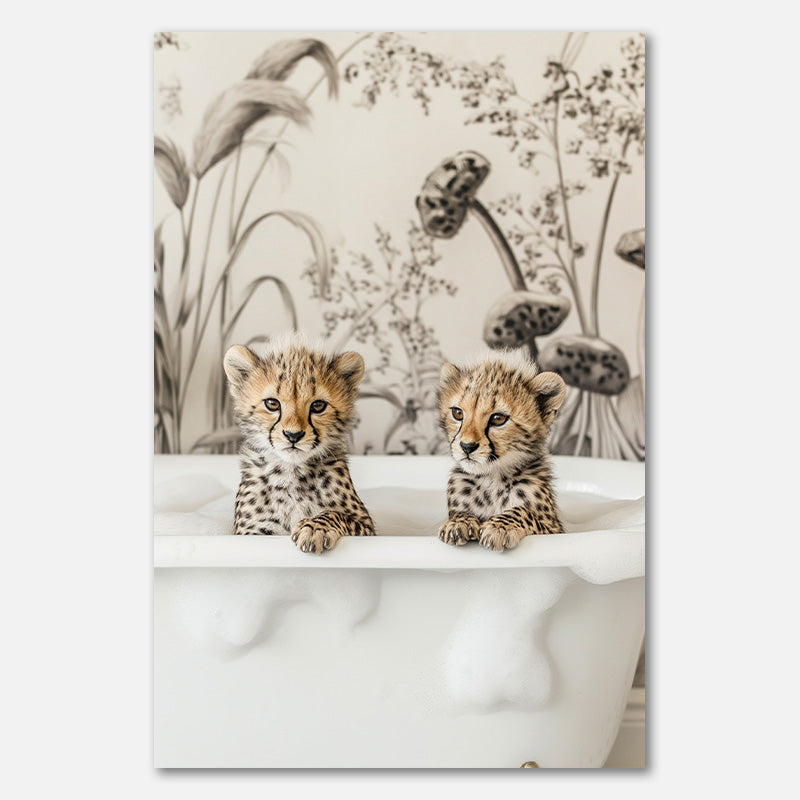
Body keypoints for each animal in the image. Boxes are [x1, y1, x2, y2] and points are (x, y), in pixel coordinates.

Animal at [223, 333, 374, 553]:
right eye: (272, 404)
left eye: (318, 405)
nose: (293, 435)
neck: (291, 471)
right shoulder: (252, 531)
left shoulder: (365, 524)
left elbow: (335, 514)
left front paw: (314, 528)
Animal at [436, 348, 567, 552]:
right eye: (457, 413)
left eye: (498, 418)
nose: (467, 446)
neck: (492, 477)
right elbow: (460, 514)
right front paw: (459, 523)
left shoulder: (555, 529)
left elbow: (523, 511)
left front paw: (499, 527)